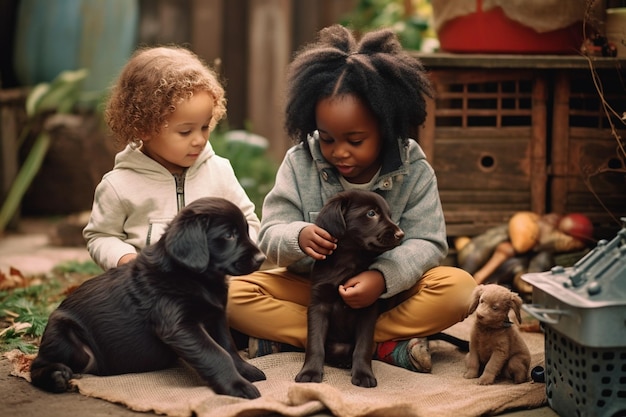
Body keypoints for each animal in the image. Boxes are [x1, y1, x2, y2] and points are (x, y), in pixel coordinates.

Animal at [30, 197, 264, 398]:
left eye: (245, 231)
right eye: (229, 235)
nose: (261, 258)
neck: (195, 278)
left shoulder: (216, 317)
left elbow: (228, 347)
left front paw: (245, 370)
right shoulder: (179, 325)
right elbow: (216, 354)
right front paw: (237, 385)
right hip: (64, 333)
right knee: (35, 367)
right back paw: (57, 376)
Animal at [294, 189, 402, 386]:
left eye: (389, 215)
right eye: (371, 213)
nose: (401, 234)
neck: (348, 262)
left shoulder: (367, 307)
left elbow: (363, 347)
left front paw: (364, 374)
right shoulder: (318, 304)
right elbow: (315, 344)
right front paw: (310, 372)